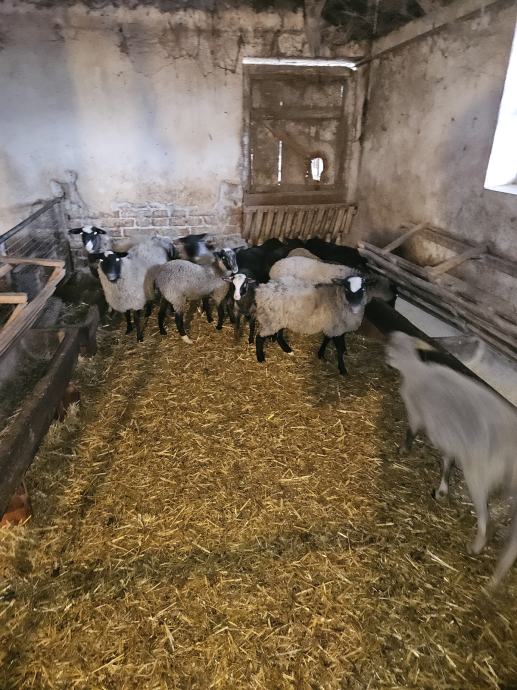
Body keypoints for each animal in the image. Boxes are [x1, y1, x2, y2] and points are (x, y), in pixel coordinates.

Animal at [231, 275, 367, 375]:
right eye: (347, 288)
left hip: (280, 317)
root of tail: (262, 290)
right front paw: (342, 369)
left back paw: (287, 349)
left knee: (278, 334)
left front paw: (321, 354)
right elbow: (339, 349)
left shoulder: (332, 326)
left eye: (362, 289)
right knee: (260, 338)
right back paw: (261, 358)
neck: (338, 297)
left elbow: (327, 338)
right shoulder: (337, 327)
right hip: (272, 319)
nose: (355, 307)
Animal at [386, 331, 517, 589]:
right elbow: (447, 462)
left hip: (478, 473)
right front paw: (442, 490)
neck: (416, 369)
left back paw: (477, 547)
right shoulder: (449, 440)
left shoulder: (416, 414)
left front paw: (403, 450)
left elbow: (411, 432)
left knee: (486, 520)